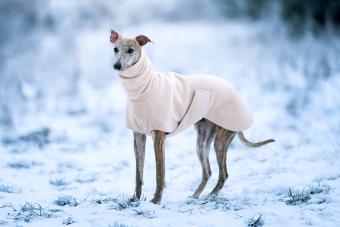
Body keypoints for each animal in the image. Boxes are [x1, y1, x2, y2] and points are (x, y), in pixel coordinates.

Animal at [110, 28, 274, 204]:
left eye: (130, 50)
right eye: (115, 49)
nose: (117, 66)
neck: (144, 88)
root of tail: (235, 92)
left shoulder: (159, 138)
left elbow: (160, 173)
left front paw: (156, 201)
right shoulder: (138, 136)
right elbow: (138, 173)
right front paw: (135, 199)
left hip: (220, 140)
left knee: (223, 174)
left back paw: (210, 196)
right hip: (202, 143)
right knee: (207, 171)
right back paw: (195, 196)